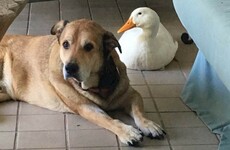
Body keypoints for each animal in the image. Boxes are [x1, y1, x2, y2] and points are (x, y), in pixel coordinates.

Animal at [0, 19, 165, 146]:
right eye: (65, 44)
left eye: (89, 47)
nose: (70, 68)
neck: (98, 84)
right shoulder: (86, 107)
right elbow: (108, 120)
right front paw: (127, 132)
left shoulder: (130, 93)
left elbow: (138, 111)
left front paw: (148, 124)